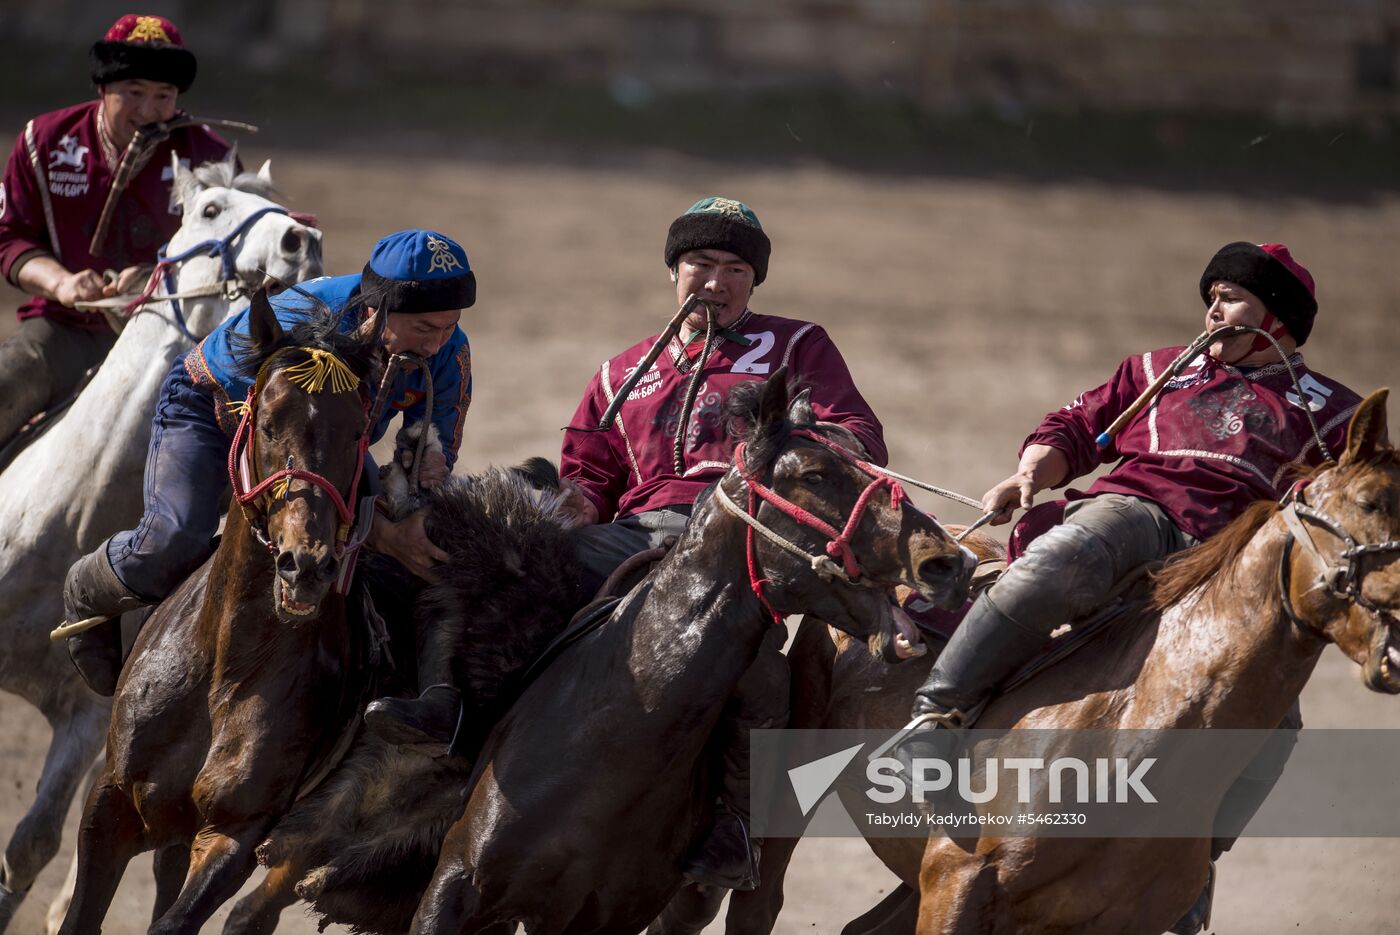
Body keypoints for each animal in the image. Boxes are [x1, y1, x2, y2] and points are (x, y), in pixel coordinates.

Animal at [0, 149, 322, 929]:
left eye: (279, 204)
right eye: (209, 209)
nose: (301, 240)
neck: (71, 516)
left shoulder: (85, 721)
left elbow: (31, 845)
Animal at [55, 292, 383, 935]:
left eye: (358, 430)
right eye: (268, 422)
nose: (305, 565)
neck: (223, 667)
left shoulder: (235, 833)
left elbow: (177, 918)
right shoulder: (111, 801)